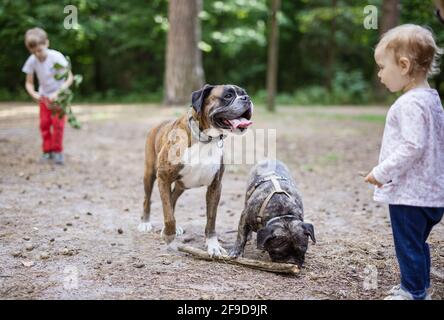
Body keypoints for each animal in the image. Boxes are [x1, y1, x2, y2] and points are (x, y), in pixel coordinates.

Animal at [140, 84, 255, 256]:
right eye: (228, 95)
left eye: (244, 93)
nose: (247, 98)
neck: (205, 139)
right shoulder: (163, 178)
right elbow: (168, 215)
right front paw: (168, 235)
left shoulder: (215, 186)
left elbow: (211, 219)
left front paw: (213, 245)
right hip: (150, 175)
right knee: (148, 199)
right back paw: (145, 222)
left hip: (182, 185)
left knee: (172, 199)